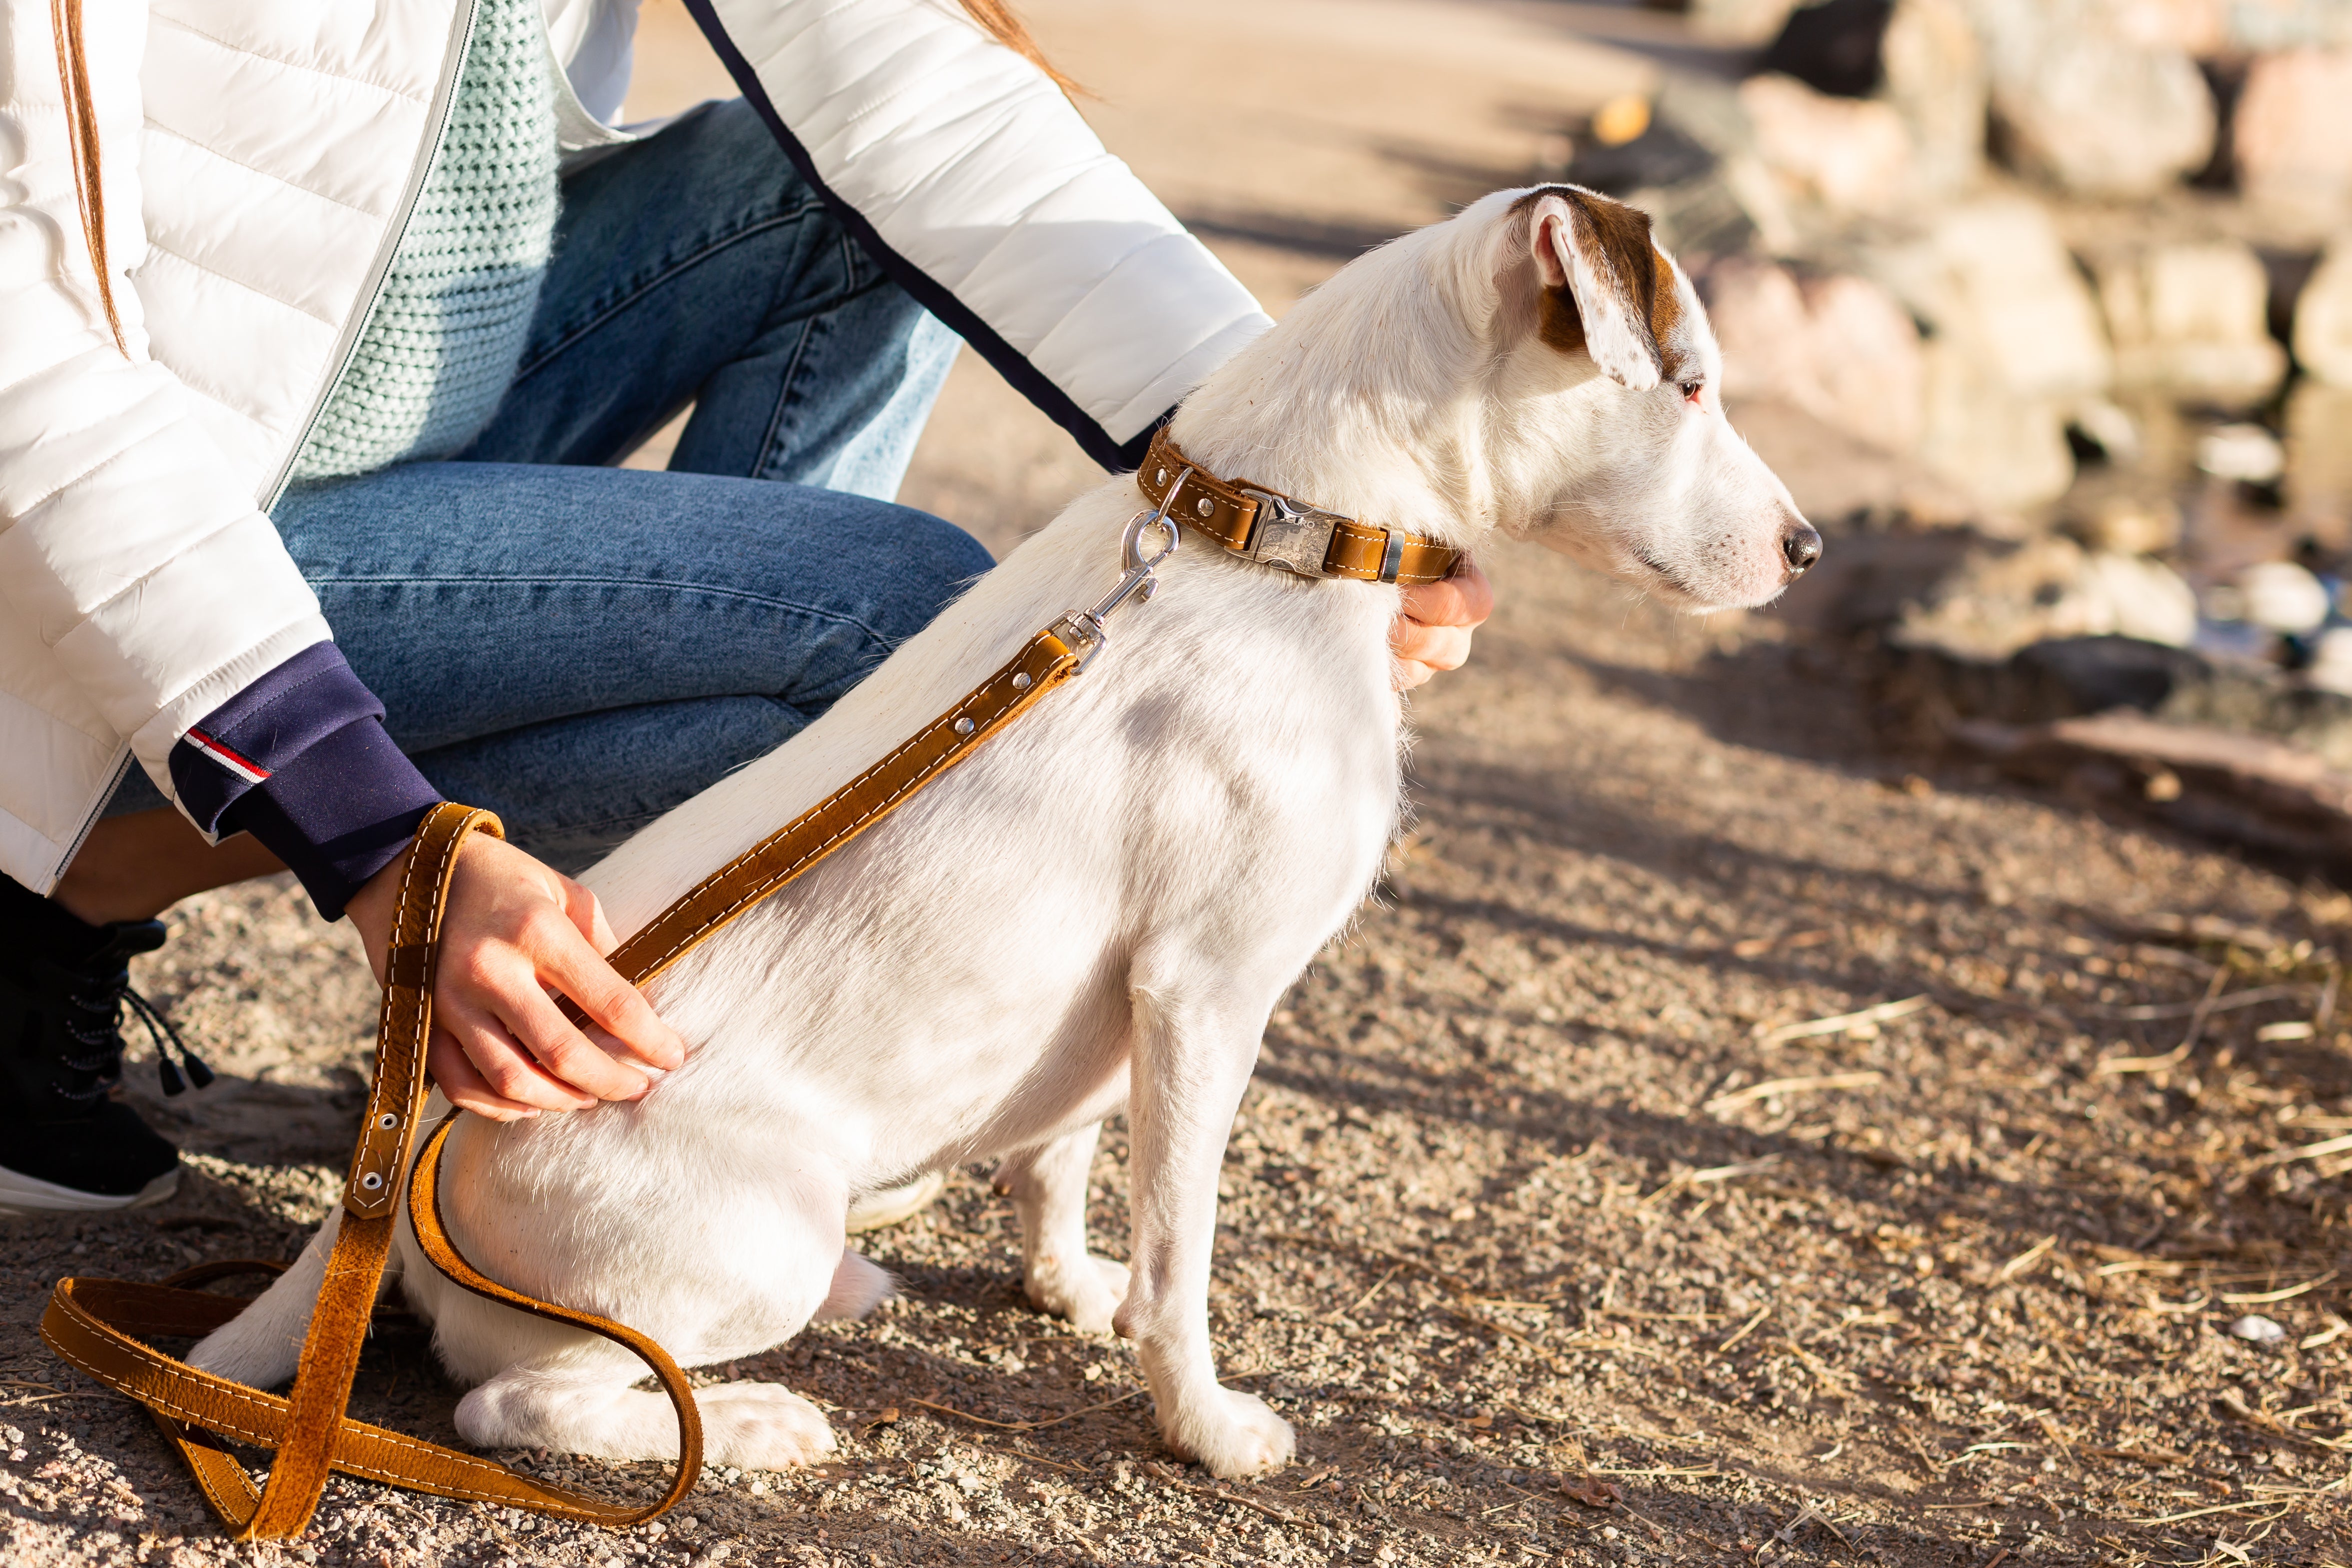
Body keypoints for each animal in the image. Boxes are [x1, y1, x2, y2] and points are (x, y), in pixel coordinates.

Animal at [197, 186, 1816, 1486]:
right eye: (1685, 385)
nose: (1807, 549)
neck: (1278, 534)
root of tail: (408, 1136)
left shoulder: (1122, 1007)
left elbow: (1064, 1164)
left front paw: (1067, 1286)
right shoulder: (1206, 994)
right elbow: (1184, 1249)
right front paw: (1202, 1421)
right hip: (748, 1238)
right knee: (512, 1405)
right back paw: (751, 1424)